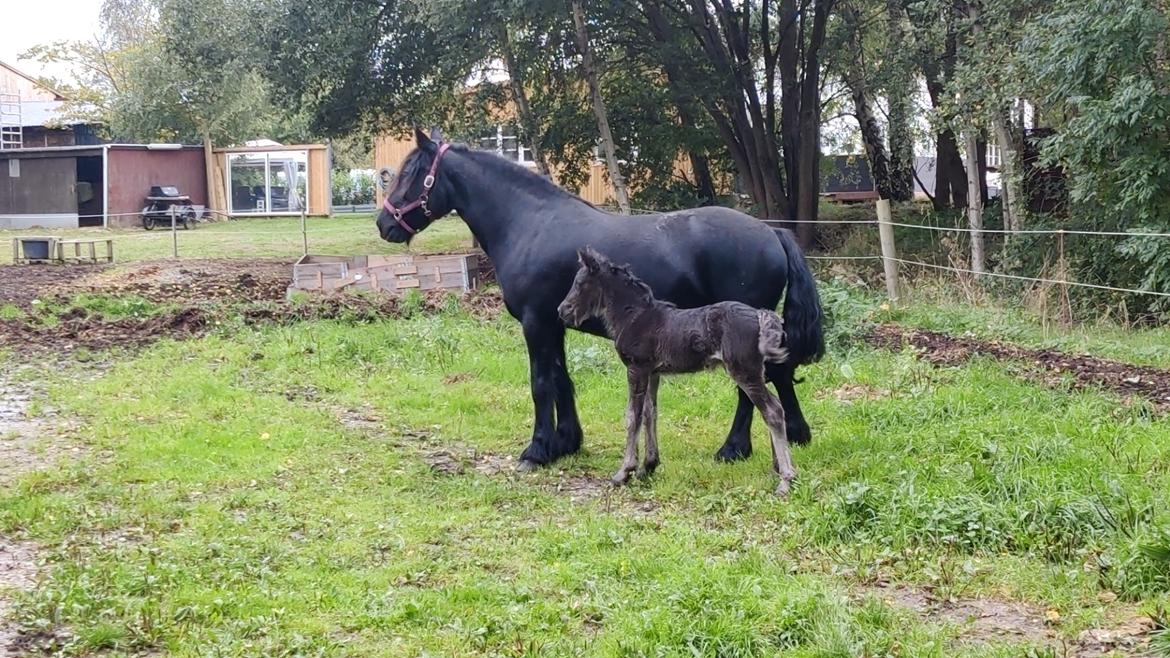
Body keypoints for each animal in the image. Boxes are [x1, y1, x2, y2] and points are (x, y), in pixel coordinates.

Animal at [557, 248, 797, 495]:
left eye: (580, 283)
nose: (562, 310)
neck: (634, 316)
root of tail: (759, 315)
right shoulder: (653, 372)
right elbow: (650, 413)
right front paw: (648, 467)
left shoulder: (636, 368)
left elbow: (633, 416)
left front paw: (624, 472)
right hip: (753, 371)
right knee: (773, 406)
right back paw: (777, 469)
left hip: (744, 371)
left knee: (773, 410)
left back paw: (785, 480)